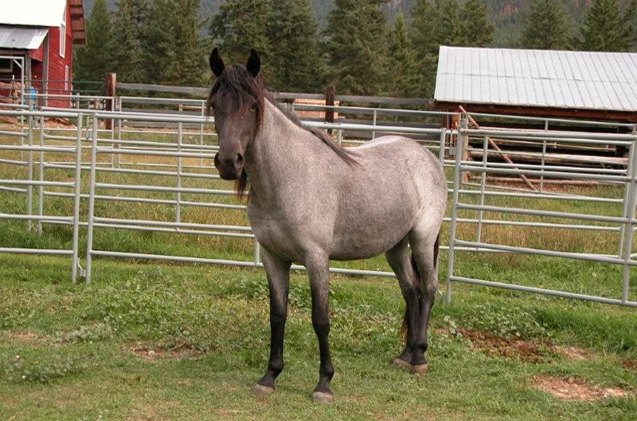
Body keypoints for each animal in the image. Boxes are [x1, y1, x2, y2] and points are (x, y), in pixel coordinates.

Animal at [209, 47, 448, 402]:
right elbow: (277, 315)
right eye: (215, 105)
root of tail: (427, 156)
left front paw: (324, 383)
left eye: (252, 106)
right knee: (411, 290)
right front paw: (270, 376)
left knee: (429, 288)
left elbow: (320, 318)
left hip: (422, 238)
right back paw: (404, 355)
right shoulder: (272, 257)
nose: (228, 162)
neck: (288, 177)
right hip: (395, 246)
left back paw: (419, 356)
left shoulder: (316, 258)